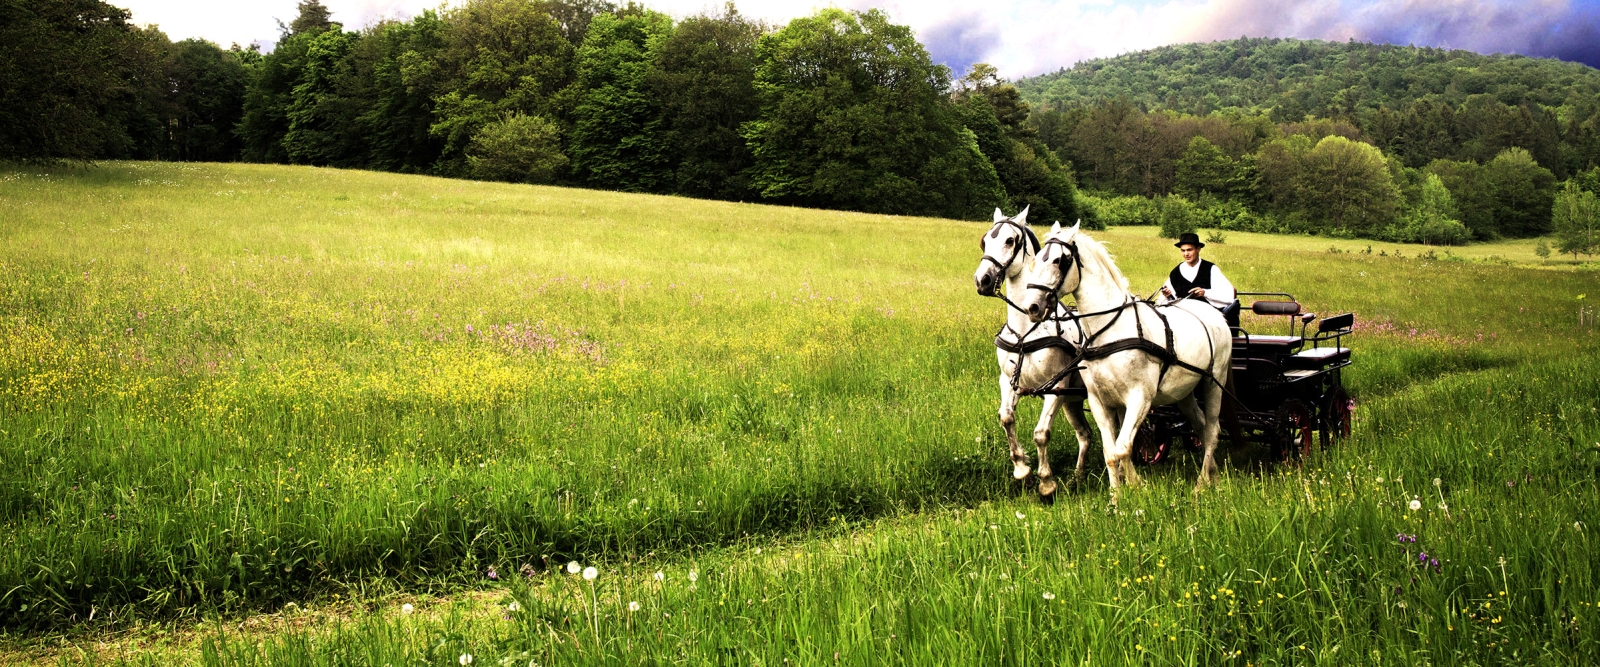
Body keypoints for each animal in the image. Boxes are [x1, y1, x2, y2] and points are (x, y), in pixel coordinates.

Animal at [973, 207, 1098, 500]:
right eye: (985, 241)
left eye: (1010, 240)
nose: (982, 280)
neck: (1026, 330)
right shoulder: (1009, 382)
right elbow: (1006, 417)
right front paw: (1022, 471)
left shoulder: (1056, 388)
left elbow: (1041, 434)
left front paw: (1046, 483)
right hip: (1074, 401)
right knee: (1085, 435)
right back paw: (1077, 478)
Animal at [1012, 222, 1233, 492]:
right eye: (1038, 258)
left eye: (1059, 260)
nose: (1032, 307)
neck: (1110, 330)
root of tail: (1211, 312)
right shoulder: (1099, 400)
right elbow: (1110, 452)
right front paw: (1116, 495)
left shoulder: (1140, 398)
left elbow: (1123, 447)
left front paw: (1135, 486)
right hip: (1184, 392)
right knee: (1200, 426)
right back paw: (1214, 475)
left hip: (1213, 383)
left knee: (1212, 429)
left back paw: (1202, 483)